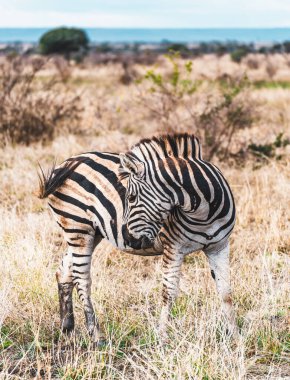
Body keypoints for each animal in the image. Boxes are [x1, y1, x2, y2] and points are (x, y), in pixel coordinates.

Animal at [120, 134, 238, 338]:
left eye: (131, 198)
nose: (129, 240)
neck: (205, 214)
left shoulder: (220, 246)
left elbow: (225, 292)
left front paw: (236, 337)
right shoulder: (173, 248)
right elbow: (168, 294)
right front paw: (161, 338)